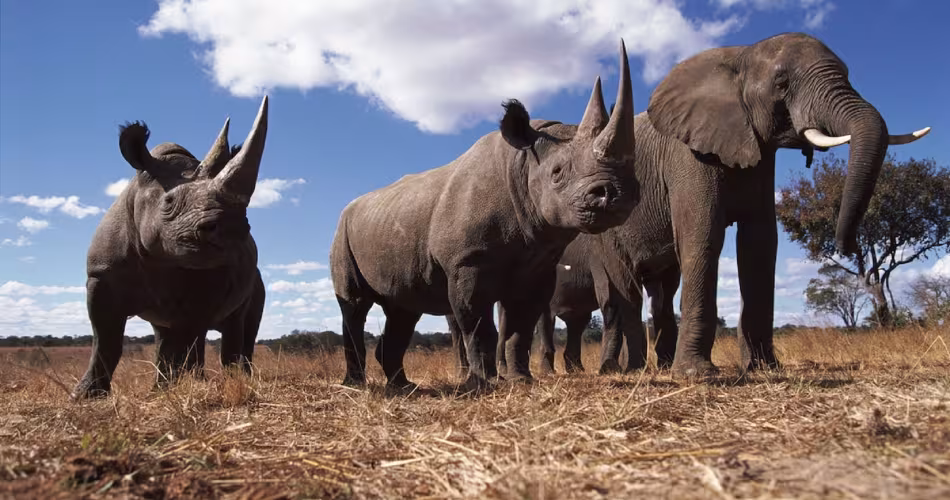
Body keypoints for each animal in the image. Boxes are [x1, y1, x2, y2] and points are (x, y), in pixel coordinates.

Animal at [72, 97, 270, 399]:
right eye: (168, 202)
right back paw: (164, 386)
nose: (232, 228)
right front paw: (86, 396)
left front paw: (190, 386)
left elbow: (192, 333)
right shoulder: (100, 274)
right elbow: (105, 339)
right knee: (165, 330)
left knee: (236, 325)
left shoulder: (209, 277)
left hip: (256, 281)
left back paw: (237, 379)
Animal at [330, 42, 638, 392]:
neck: (523, 163)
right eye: (557, 173)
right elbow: (478, 325)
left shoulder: (537, 263)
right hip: (342, 231)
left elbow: (521, 326)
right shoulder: (468, 260)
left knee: (403, 308)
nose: (617, 194)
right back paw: (355, 385)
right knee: (355, 305)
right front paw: (484, 383)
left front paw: (521, 379)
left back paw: (403, 386)